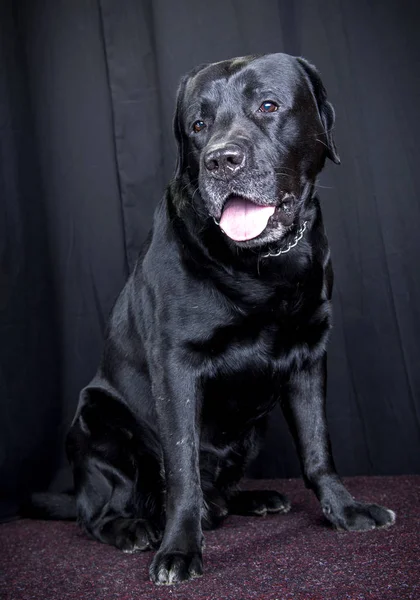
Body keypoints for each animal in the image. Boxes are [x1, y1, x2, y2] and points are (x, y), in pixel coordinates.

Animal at [33, 54, 398, 584]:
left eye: (268, 106)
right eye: (198, 126)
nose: (221, 161)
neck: (260, 265)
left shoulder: (310, 355)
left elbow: (318, 449)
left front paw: (345, 510)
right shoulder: (177, 366)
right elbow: (182, 468)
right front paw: (180, 549)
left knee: (218, 495)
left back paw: (252, 498)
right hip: (97, 419)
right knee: (97, 514)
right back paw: (134, 527)